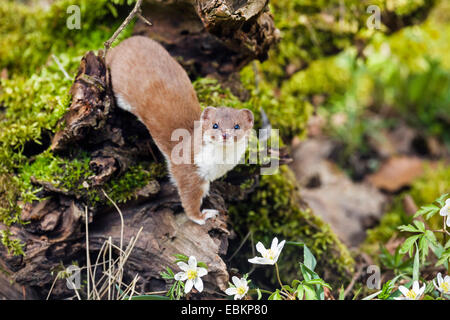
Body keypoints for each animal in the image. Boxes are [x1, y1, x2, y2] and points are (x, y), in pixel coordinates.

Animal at [105, 35, 253, 225]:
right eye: (215, 125)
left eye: (237, 125)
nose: (225, 134)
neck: (218, 165)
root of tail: (125, 43)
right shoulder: (188, 169)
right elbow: (189, 198)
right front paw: (203, 216)